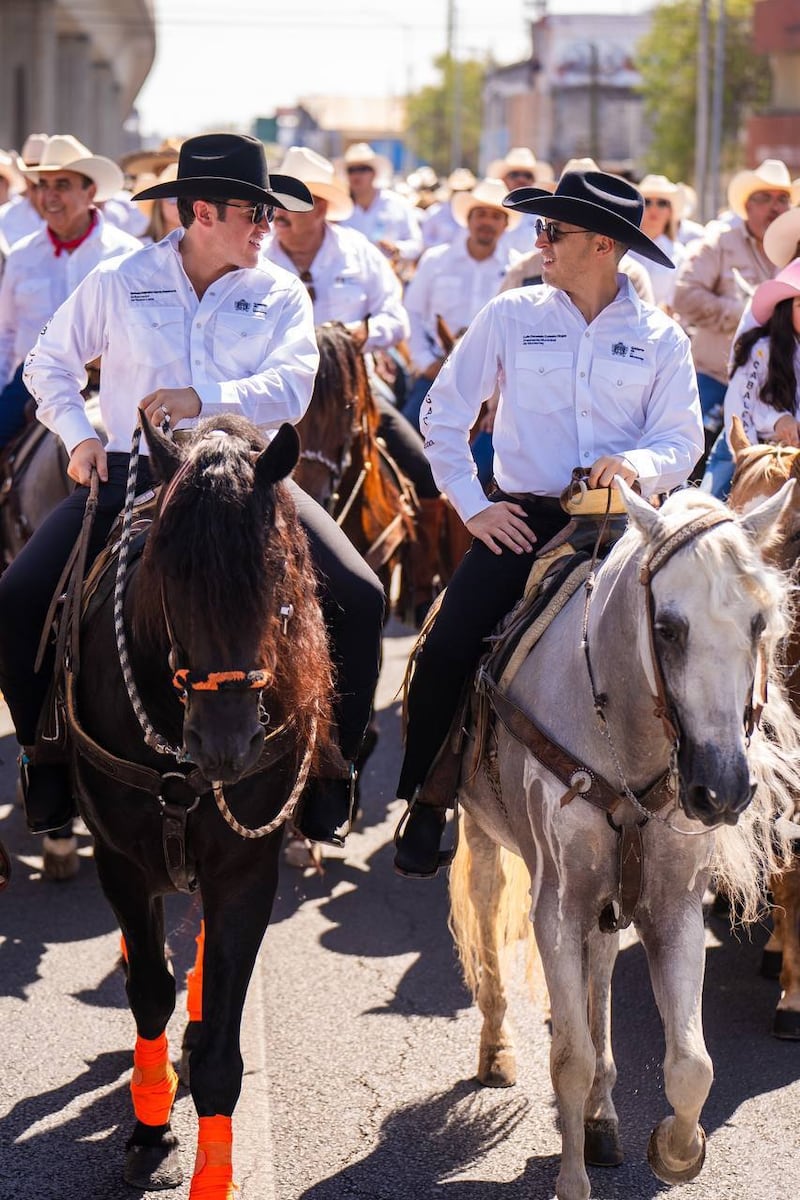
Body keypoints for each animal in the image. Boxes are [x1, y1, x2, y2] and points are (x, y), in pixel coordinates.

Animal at [65, 417, 335, 1195]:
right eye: (168, 571)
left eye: (276, 568)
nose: (227, 743)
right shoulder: (121, 863)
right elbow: (148, 992)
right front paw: (152, 1129)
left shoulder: (245, 873)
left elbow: (219, 1046)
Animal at [450, 480, 800, 1200]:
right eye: (667, 628)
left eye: (759, 624)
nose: (723, 789)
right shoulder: (556, 907)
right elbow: (569, 1056)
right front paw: (572, 1180)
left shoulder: (672, 908)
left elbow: (692, 1064)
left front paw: (674, 1150)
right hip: (485, 835)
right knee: (487, 917)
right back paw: (498, 1049)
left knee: (605, 967)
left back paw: (603, 1117)